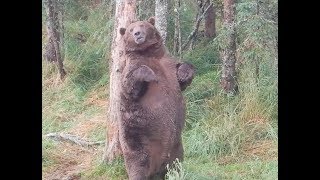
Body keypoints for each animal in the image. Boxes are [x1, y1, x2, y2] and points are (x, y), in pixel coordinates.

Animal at [119, 17, 195, 180]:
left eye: (142, 25)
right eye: (130, 29)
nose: (137, 33)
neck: (149, 53)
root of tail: (156, 169)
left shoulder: (168, 63)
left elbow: (182, 72)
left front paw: (184, 74)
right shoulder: (131, 68)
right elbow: (129, 85)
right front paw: (151, 75)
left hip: (177, 147)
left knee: (177, 164)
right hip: (138, 144)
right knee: (138, 167)